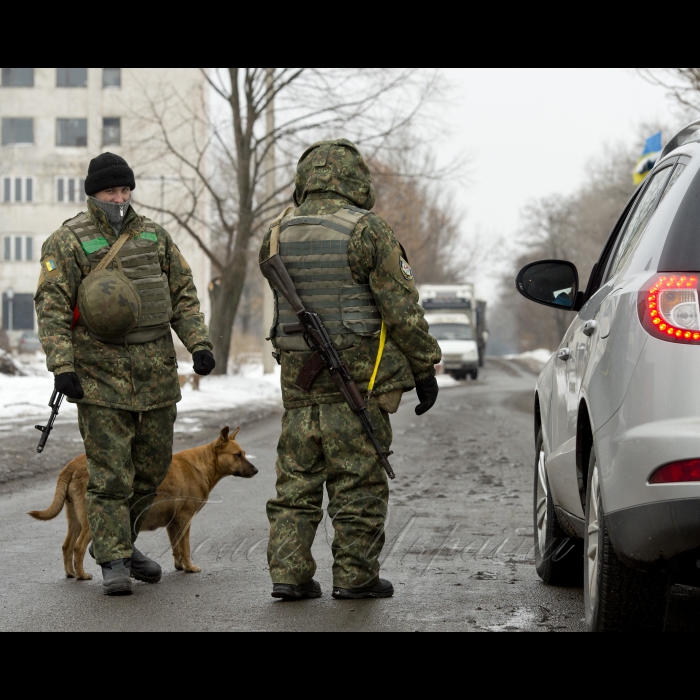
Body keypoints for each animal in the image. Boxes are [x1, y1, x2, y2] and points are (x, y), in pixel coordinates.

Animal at [28, 426, 258, 580]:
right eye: (237, 455)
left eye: (244, 454)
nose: (256, 470)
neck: (202, 465)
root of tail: (70, 466)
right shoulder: (185, 520)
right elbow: (185, 547)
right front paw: (190, 567)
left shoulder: (173, 523)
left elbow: (176, 547)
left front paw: (179, 565)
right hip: (90, 520)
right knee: (78, 548)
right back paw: (82, 575)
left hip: (74, 518)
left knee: (67, 546)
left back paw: (70, 573)